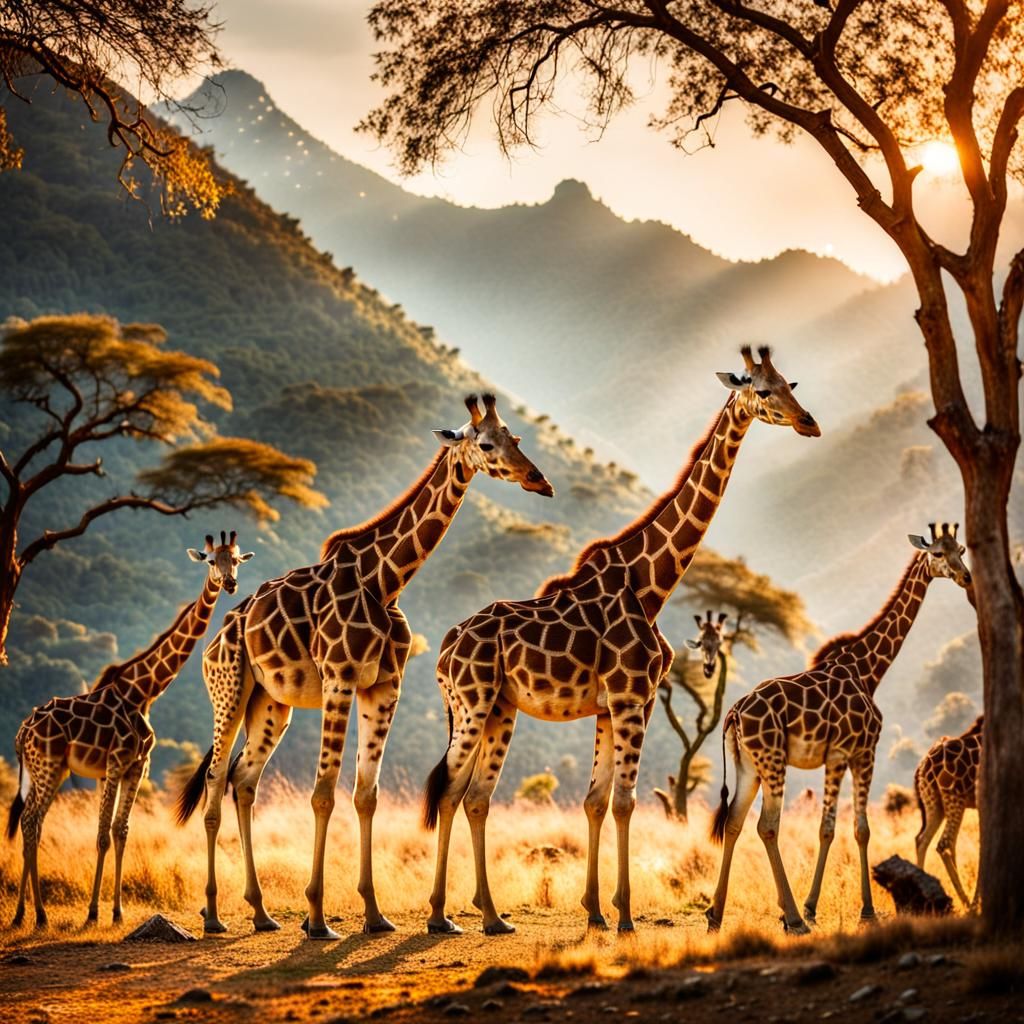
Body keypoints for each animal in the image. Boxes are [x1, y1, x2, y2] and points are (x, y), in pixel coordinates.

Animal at [6, 531, 252, 929]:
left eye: (237, 560)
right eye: (212, 561)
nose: (229, 584)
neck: (145, 690)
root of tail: (21, 734)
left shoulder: (136, 766)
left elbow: (121, 832)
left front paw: (117, 911)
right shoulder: (115, 764)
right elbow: (103, 835)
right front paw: (93, 913)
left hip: (49, 770)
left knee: (33, 824)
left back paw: (23, 915)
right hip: (47, 767)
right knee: (30, 822)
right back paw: (38, 915)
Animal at [175, 395, 553, 939]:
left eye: (515, 438)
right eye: (485, 444)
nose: (538, 480)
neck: (385, 580)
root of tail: (220, 635)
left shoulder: (384, 687)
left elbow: (365, 795)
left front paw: (375, 915)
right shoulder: (340, 678)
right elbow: (323, 794)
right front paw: (316, 920)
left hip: (270, 703)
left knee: (243, 780)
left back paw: (262, 912)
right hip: (228, 691)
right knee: (213, 781)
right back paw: (212, 915)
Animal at [422, 346, 820, 935]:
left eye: (791, 384)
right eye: (764, 391)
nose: (808, 422)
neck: (651, 583)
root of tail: (444, 651)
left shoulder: (614, 705)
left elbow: (594, 800)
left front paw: (595, 910)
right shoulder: (634, 698)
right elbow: (626, 802)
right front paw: (626, 915)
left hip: (498, 708)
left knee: (470, 796)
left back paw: (490, 916)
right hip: (472, 704)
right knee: (449, 786)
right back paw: (439, 916)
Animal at [707, 523, 973, 935]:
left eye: (960, 549)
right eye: (938, 554)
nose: (966, 577)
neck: (868, 669)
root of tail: (733, 713)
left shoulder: (836, 756)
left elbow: (830, 828)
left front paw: (814, 906)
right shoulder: (858, 752)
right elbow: (857, 828)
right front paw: (862, 911)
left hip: (747, 764)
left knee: (734, 822)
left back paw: (716, 916)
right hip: (772, 760)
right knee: (767, 826)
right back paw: (792, 919)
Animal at [914, 714, 983, 909]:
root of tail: (925, 767)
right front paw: (977, 901)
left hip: (934, 802)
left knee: (923, 840)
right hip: (954, 798)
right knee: (944, 843)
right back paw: (966, 901)